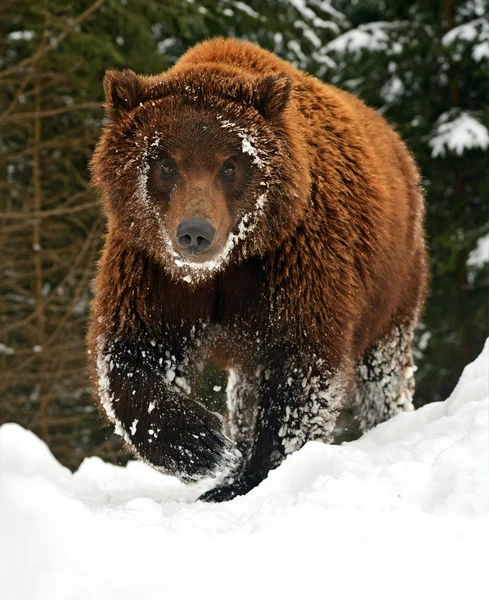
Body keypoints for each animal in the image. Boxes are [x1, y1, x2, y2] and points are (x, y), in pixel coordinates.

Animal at [87, 36, 428, 502]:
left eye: (230, 164)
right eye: (165, 163)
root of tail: (398, 144)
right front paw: (209, 447)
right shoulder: (152, 269)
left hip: (393, 282)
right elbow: (134, 355)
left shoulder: (298, 263)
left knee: (384, 370)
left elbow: (300, 373)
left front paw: (251, 474)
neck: (229, 264)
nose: (195, 233)